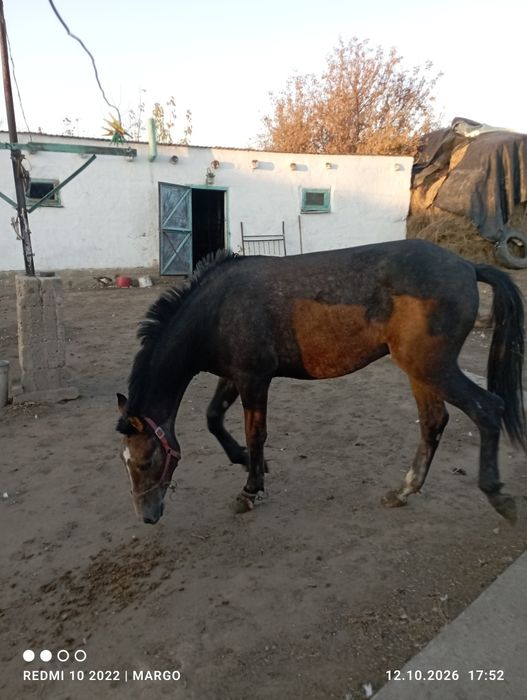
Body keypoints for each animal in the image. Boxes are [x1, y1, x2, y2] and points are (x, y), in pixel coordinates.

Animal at [116, 239, 526, 525]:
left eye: (146, 460)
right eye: (126, 462)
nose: (147, 516)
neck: (217, 310)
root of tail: (468, 266)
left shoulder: (254, 380)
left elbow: (255, 434)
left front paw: (250, 489)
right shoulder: (235, 376)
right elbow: (213, 419)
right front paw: (247, 461)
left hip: (432, 368)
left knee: (488, 410)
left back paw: (499, 497)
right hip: (420, 371)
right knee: (433, 423)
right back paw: (403, 491)